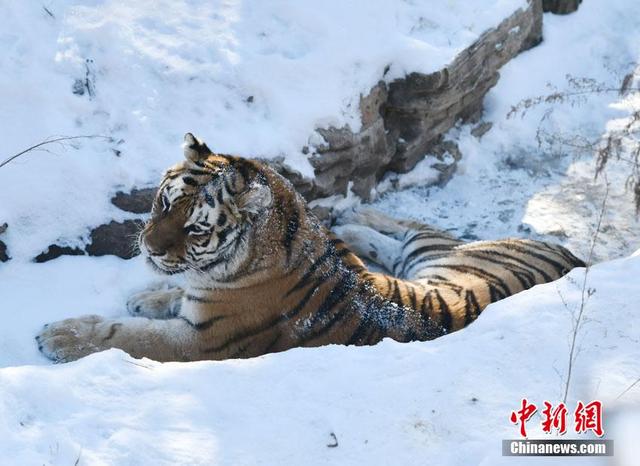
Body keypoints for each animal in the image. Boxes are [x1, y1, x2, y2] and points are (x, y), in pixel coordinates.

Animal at [36, 133, 585, 363]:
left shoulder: (201, 342)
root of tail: (576, 257)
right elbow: (172, 294)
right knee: (401, 234)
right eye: (162, 202)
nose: (148, 249)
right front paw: (148, 295)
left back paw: (356, 216)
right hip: (425, 260)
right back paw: (353, 220)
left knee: (418, 225)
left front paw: (59, 336)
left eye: (194, 229)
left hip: (444, 252)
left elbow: (125, 336)